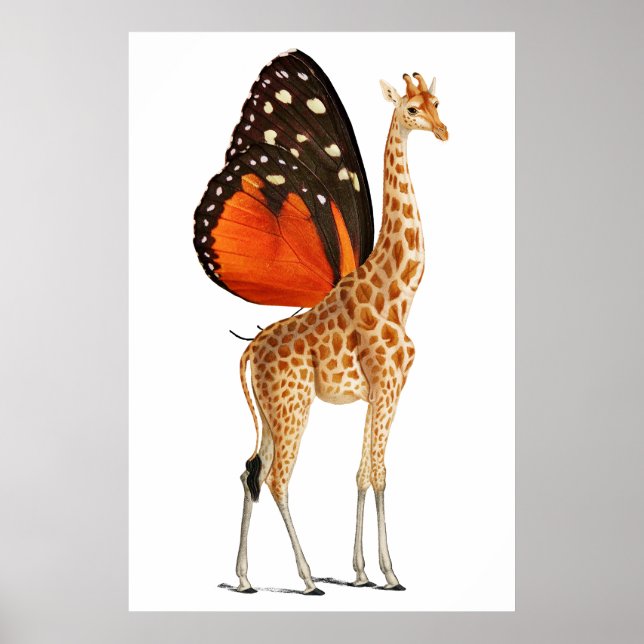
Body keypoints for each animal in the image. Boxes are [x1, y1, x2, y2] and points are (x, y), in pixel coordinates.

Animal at [234, 72, 448, 595]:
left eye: (438, 103)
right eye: (412, 109)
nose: (443, 131)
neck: (398, 294)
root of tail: (250, 351)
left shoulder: (380, 391)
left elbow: (363, 473)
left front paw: (363, 571)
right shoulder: (388, 385)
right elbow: (380, 473)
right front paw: (390, 573)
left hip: (273, 410)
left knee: (251, 471)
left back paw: (245, 578)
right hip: (292, 405)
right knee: (277, 479)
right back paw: (308, 579)